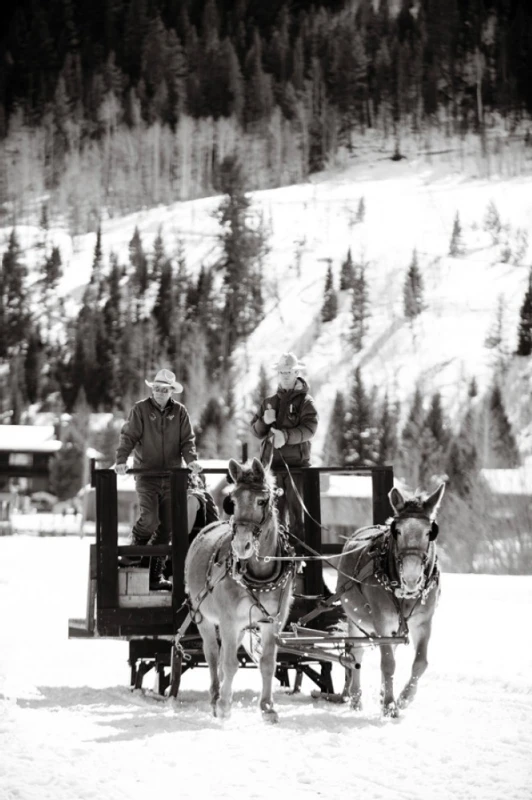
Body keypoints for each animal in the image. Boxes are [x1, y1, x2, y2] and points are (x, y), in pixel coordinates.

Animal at [184, 456, 296, 724]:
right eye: (232, 501)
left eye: (262, 500)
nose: (241, 545)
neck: (259, 574)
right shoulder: (228, 619)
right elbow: (229, 663)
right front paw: (224, 706)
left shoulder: (272, 621)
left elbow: (267, 663)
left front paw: (267, 707)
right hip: (202, 615)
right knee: (213, 654)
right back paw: (216, 696)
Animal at [336, 482, 444, 720]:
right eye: (398, 531)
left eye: (429, 532)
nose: (412, 578)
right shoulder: (382, 621)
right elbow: (387, 663)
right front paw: (389, 705)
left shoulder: (424, 622)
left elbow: (420, 663)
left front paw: (403, 698)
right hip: (355, 619)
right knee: (356, 654)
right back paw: (355, 698)